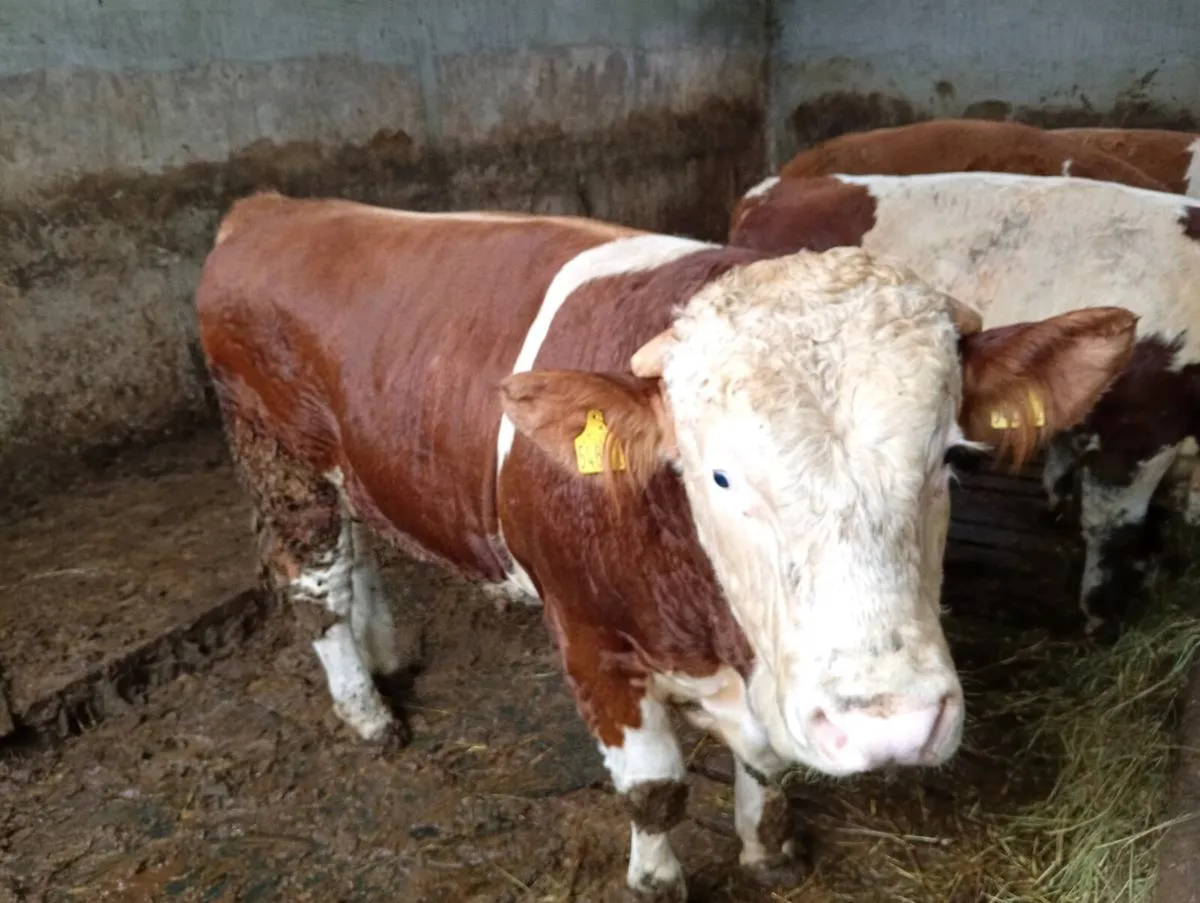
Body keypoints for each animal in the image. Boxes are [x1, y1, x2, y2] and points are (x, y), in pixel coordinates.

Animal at [194, 191, 1135, 899]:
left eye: (947, 456)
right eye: (716, 475)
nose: (893, 724)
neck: (718, 631)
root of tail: (270, 207)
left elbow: (766, 765)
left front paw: (769, 848)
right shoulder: (590, 640)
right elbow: (655, 789)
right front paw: (657, 881)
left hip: (353, 466)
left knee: (362, 552)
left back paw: (389, 651)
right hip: (278, 459)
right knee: (316, 585)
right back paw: (367, 709)